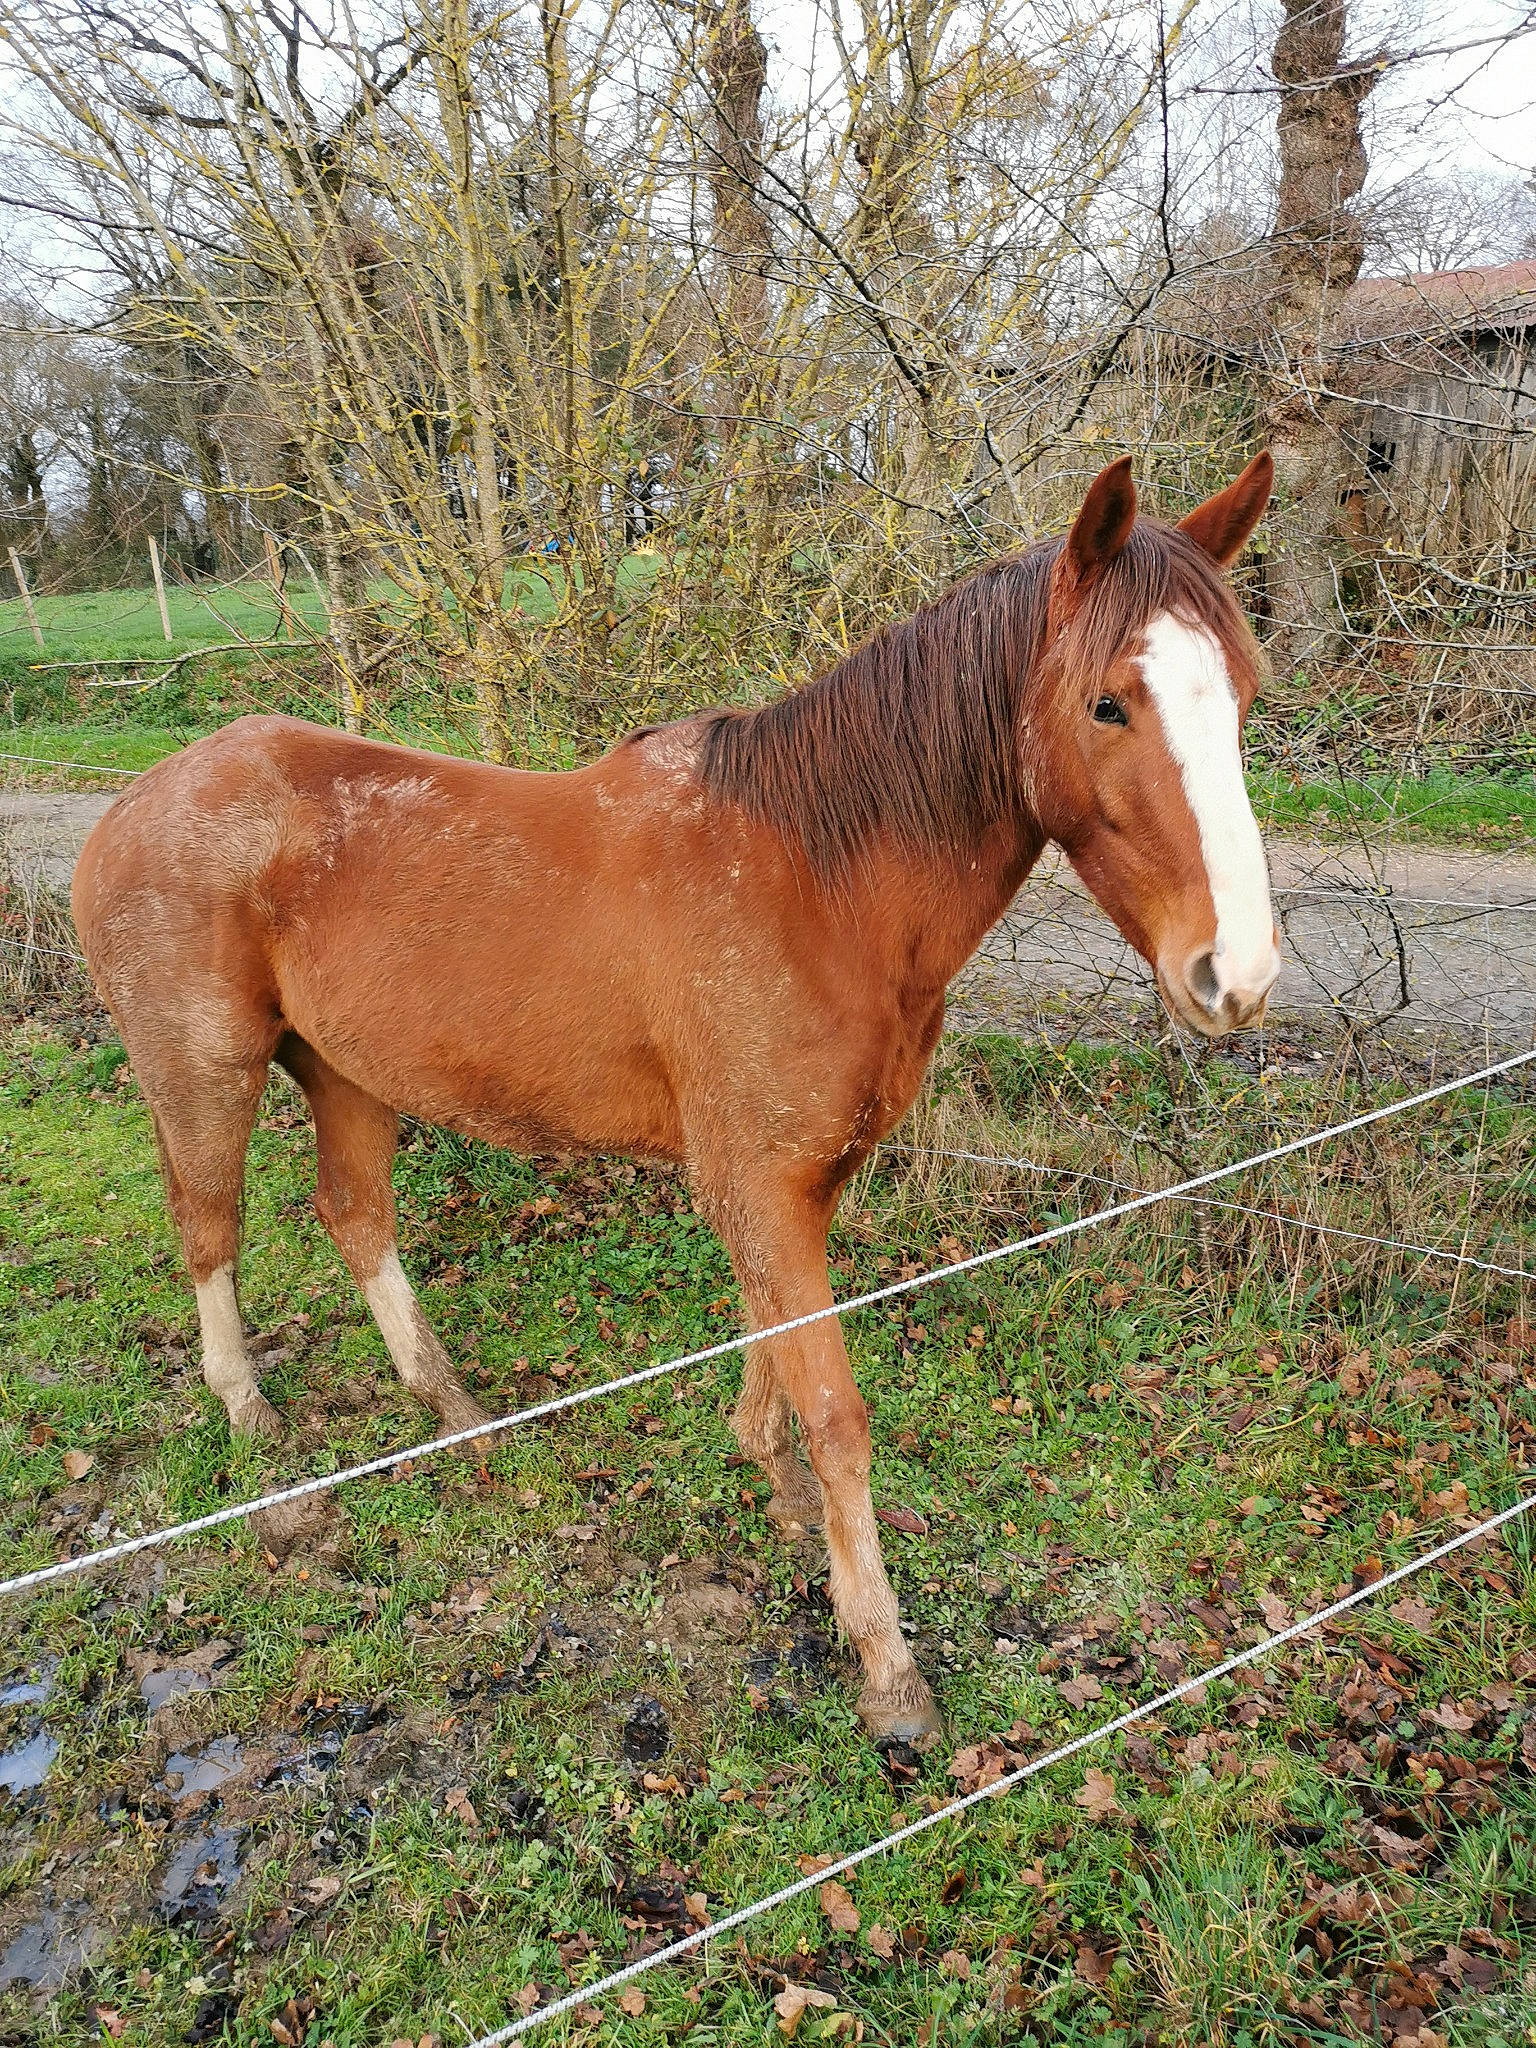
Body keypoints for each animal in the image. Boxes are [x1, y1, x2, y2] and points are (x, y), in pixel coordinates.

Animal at [72, 452, 1279, 1741]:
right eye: (1109, 705)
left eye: (1243, 696)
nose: (1238, 974)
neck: (819, 880)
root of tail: (133, 805)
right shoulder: (763, 1177)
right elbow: (835, 1405)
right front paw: (885, 1661)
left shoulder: (796, 1178)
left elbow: (771, 1339)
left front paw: (771, 1474)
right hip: (205, 1072)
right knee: (210, 1227)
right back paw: (250, 1411)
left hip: (344, 1070)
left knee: (355, 1216)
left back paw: (450, 1402)